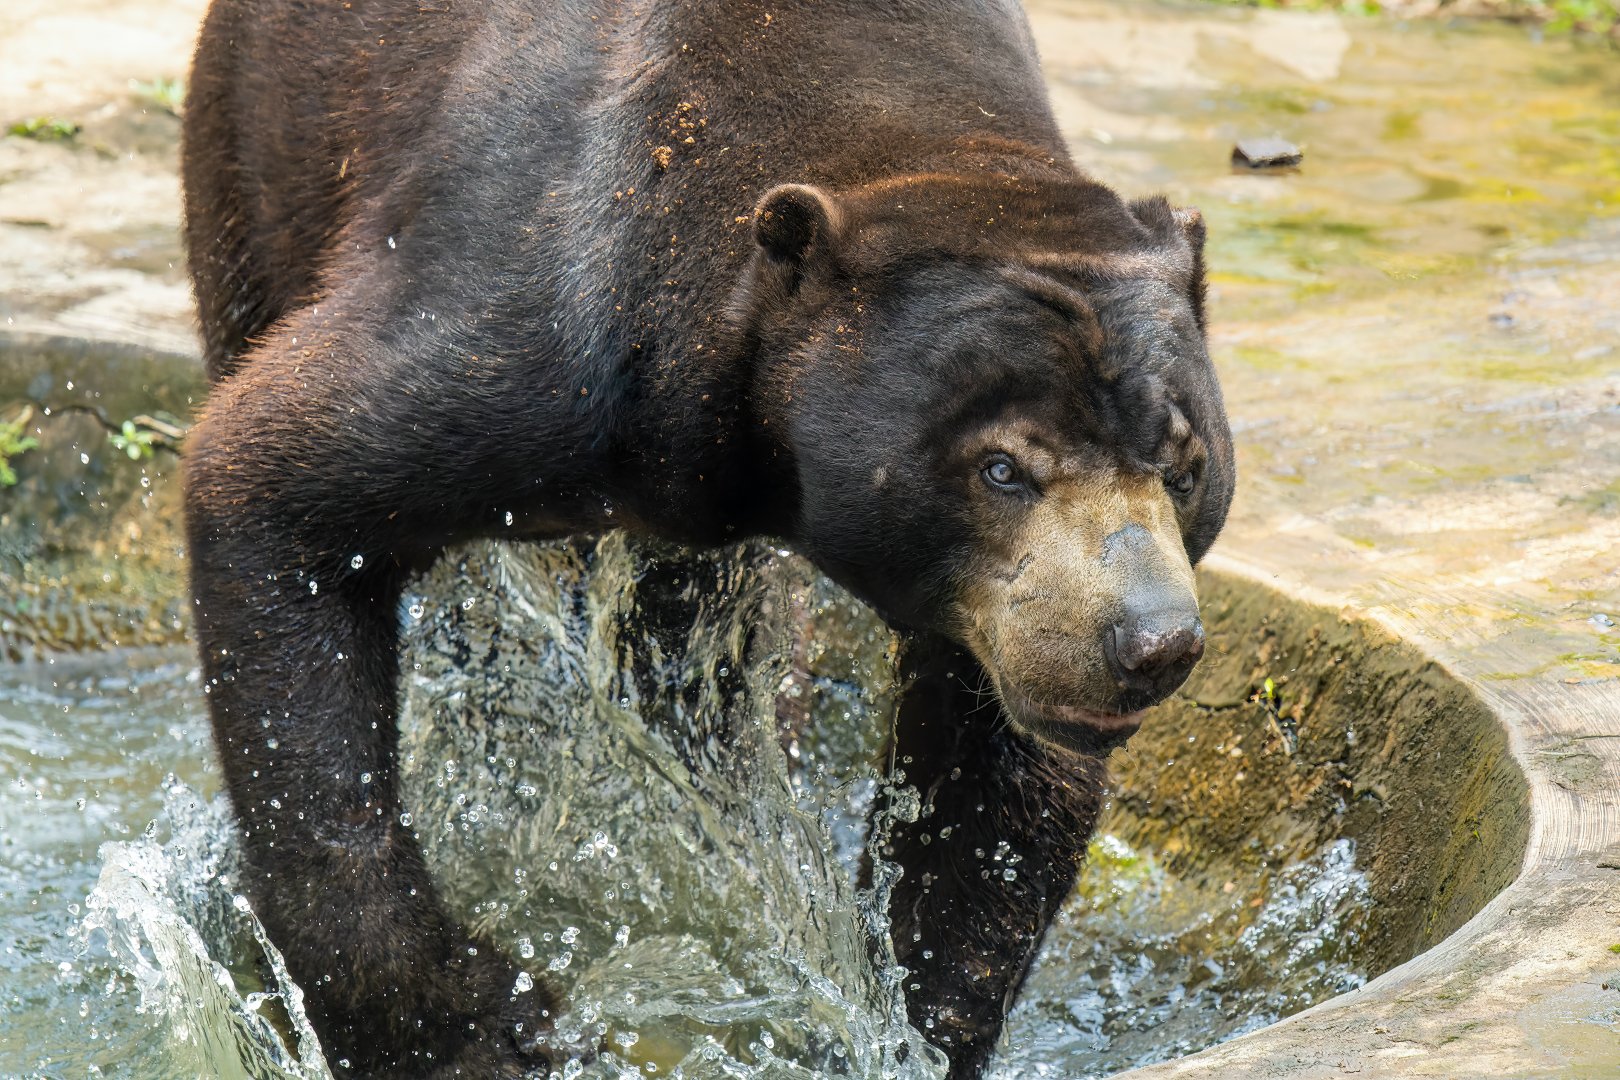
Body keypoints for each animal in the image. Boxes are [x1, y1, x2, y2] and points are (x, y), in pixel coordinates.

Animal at [178, 0, 1234, 1076]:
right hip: (256, 169)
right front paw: (485, 1023)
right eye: (1002, 469)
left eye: (1185, 467)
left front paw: (901, 1021)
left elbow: (995, 789)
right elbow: (276, 482)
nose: (1148, 643)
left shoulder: (1005, 631)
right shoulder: (543, 310)